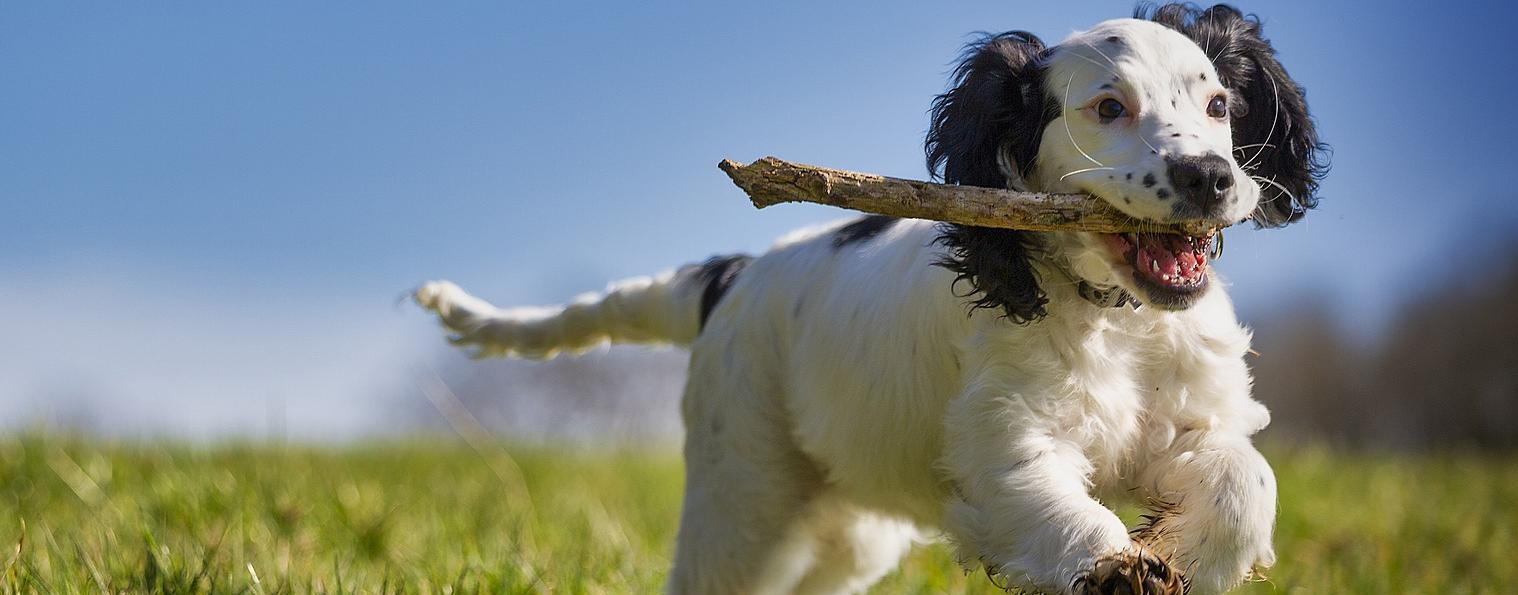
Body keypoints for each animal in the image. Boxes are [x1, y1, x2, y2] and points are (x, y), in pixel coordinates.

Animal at [415, 3, 1329, 588]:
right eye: (1108, 107)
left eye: (1219, 104)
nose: (1211, 177)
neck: (1113, 318)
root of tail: (732, 275)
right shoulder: (1004, 444)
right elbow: (1060, 510)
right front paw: (1117, 567)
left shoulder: (1194, 419)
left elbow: (1246, 482)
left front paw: (1187, 554)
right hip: (741, 492)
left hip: (847, 530)